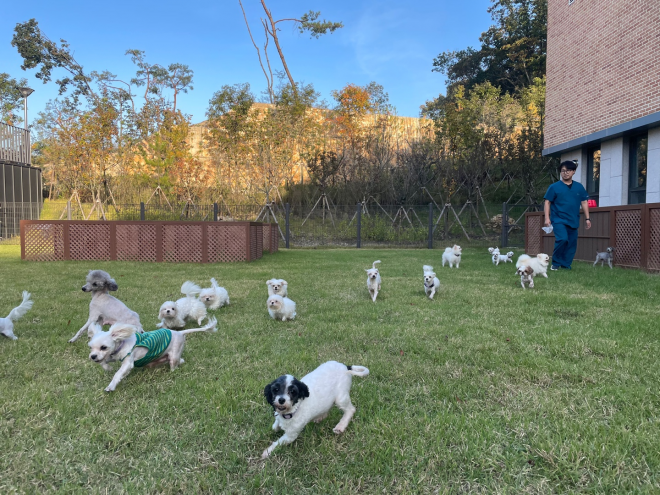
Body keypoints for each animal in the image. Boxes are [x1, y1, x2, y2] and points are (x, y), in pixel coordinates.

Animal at [86, 316, 217, 394]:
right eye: (91, 348)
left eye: (103, 347)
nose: (92, 356)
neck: (122, 344)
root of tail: (180, 333)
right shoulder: (114, 356)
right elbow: (104, 361)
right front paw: (107, 367)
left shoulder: (128, 362)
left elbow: (118, 374)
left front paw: (111, 386)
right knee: (180, 360)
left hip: (173, 356)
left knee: (174, 365)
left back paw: (172, 372)